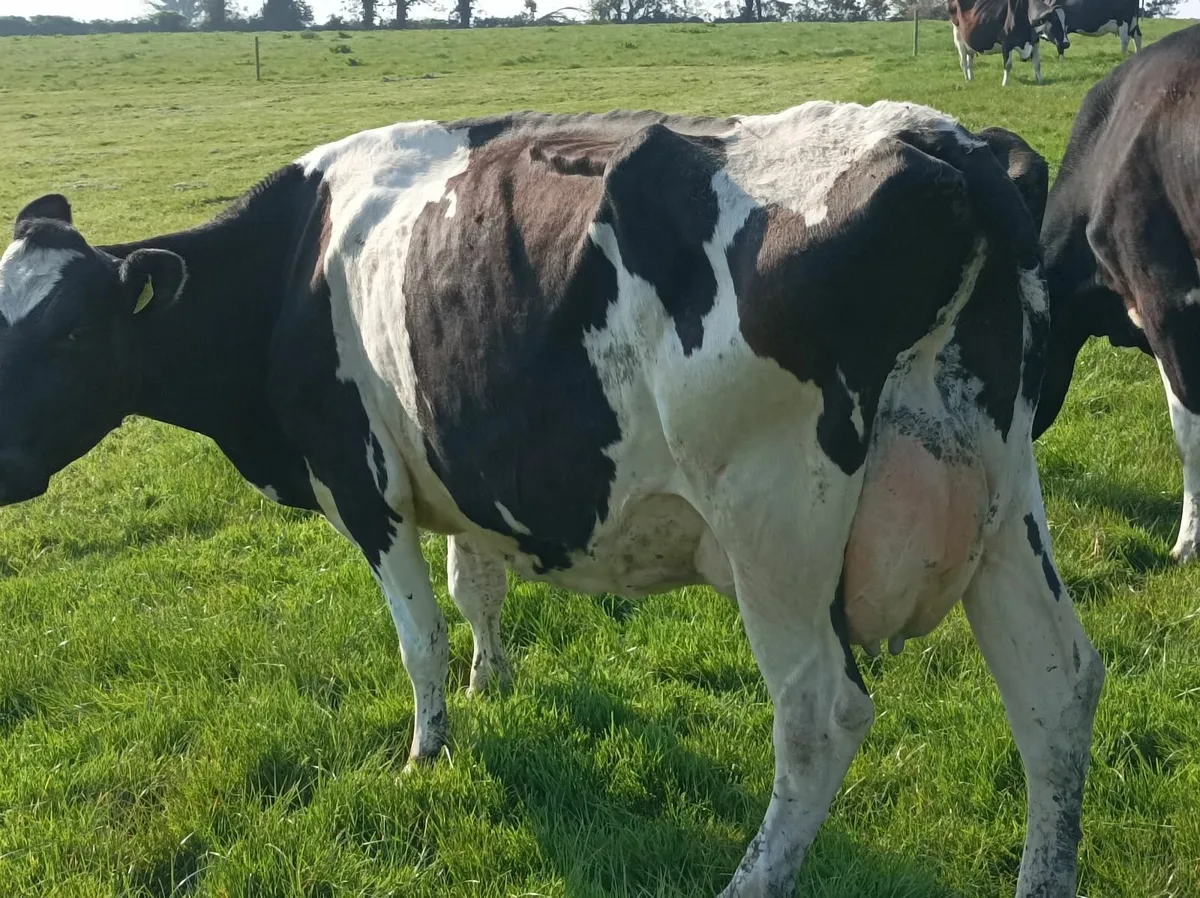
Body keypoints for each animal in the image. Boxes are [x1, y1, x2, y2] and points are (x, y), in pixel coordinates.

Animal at [0, 101, 1103, 897]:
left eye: (69, 334)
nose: (4, 463)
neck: (292, 266)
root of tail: (940, 142)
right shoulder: (460, 472)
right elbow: (475, 589)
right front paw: (492, 683)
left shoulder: (363, 481)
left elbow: (418, 635)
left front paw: (428, 748)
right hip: (1003, 500)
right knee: (1057, 687)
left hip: (775, 523)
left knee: (820, 717)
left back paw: (749, 878)